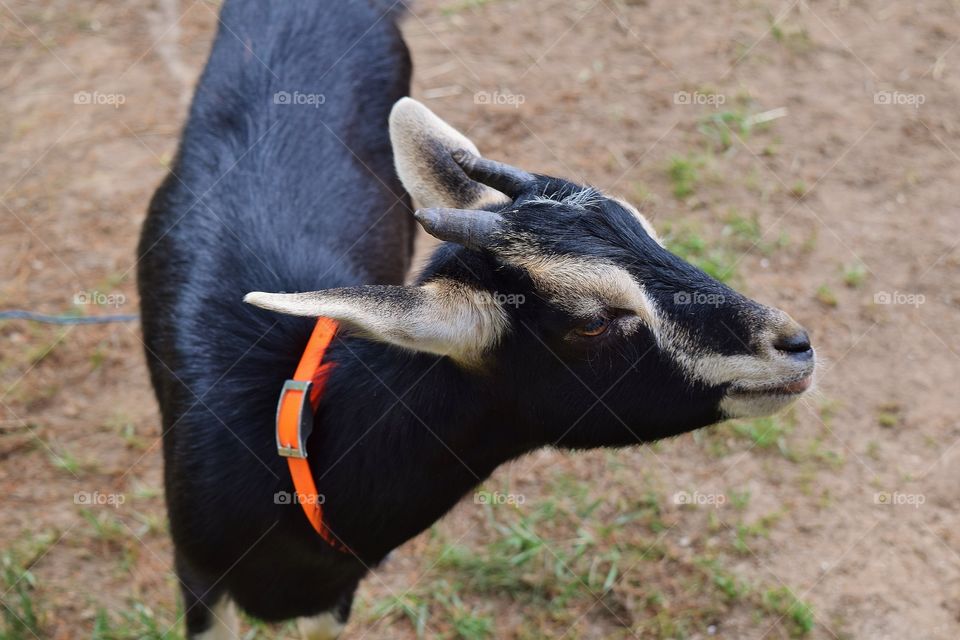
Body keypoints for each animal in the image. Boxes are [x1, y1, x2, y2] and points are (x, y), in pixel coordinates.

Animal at [139, 0, 812, 636]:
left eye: (652, 237)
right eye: (593, 320)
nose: (796, 345)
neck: (287, 433)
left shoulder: (336, 596)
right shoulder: (197, 579)